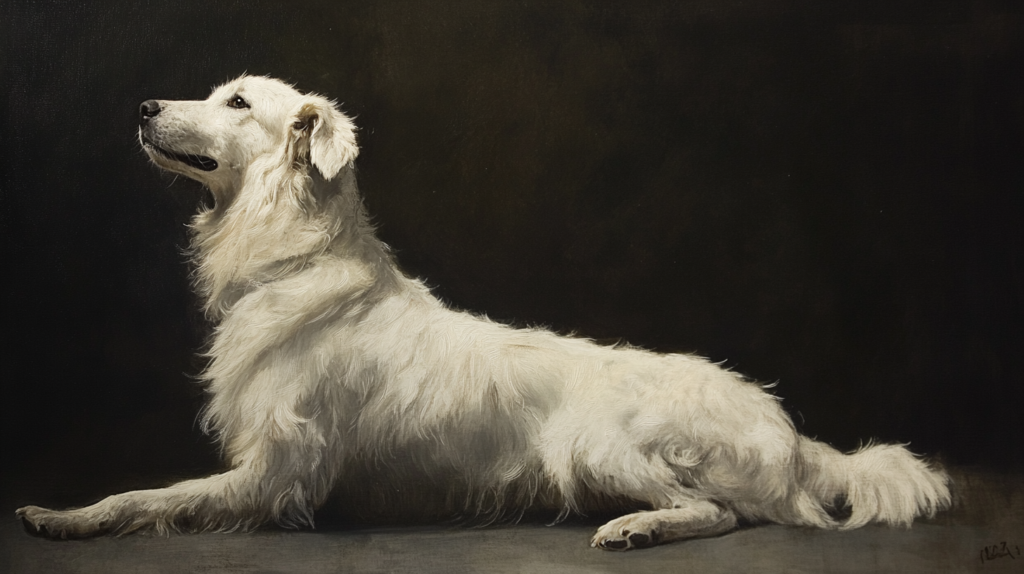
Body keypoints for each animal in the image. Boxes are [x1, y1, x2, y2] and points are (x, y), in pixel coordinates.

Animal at [16, 73, 946, 548]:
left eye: (238, 103)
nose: (142, 107)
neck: (294, 257)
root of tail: (789, 431)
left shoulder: (278, 476)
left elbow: (148, 496)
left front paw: (66, 517)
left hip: (593, 442)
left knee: (729, 513)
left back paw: (637, 529)